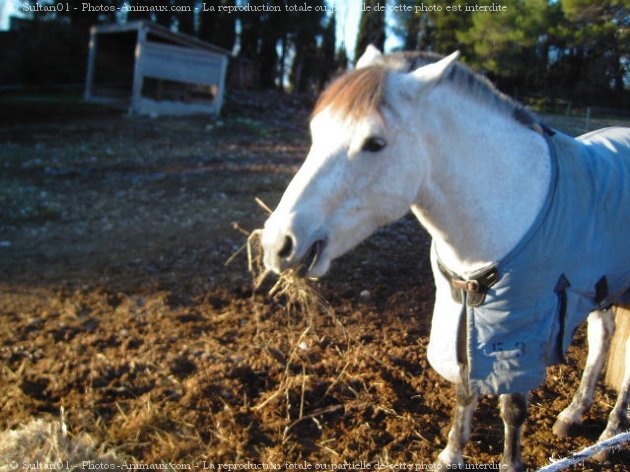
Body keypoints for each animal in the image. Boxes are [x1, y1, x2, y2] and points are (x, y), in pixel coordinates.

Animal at [260, 46, 630, 470]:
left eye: (374, 143)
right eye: (316, 132)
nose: (277, 244)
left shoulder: (521, 329)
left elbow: (512, 409)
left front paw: (510, 462)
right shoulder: (464, 313)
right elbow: (466, 389)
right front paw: (450, 455)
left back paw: (611, 432)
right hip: (602, 286)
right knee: (603, 338)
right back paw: (574, 414)